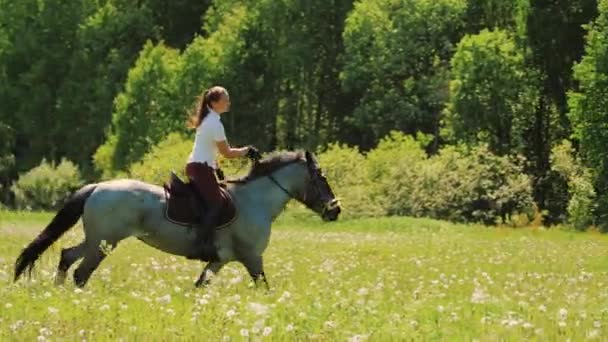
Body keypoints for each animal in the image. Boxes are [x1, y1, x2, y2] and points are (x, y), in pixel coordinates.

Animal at [13, 151, 342, 288]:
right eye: (321, 177)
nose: (335, 210)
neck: (256, 201)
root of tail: (96, 187)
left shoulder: (220, 260)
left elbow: (201, 285)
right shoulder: (251, 257)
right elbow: (263, 284)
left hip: (97, 240)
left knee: (67, 256)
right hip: (105, 242)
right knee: (81, 272)